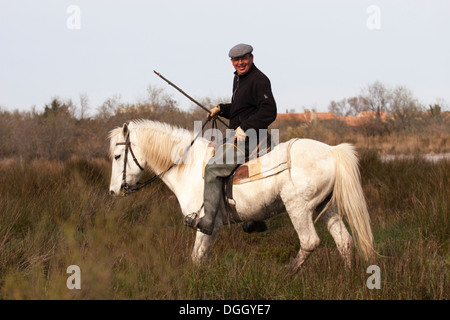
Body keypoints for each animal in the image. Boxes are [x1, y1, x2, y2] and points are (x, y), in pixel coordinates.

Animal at [107, 120, 374, 272]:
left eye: (117, 156)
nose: (113, 191)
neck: (188, 166)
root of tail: (332, 150)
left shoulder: (208, 225)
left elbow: (196, 258)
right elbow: (201, 258)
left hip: (298, 208)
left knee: (310, 242)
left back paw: (287, 273)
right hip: (327, 208)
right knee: (345, 242)